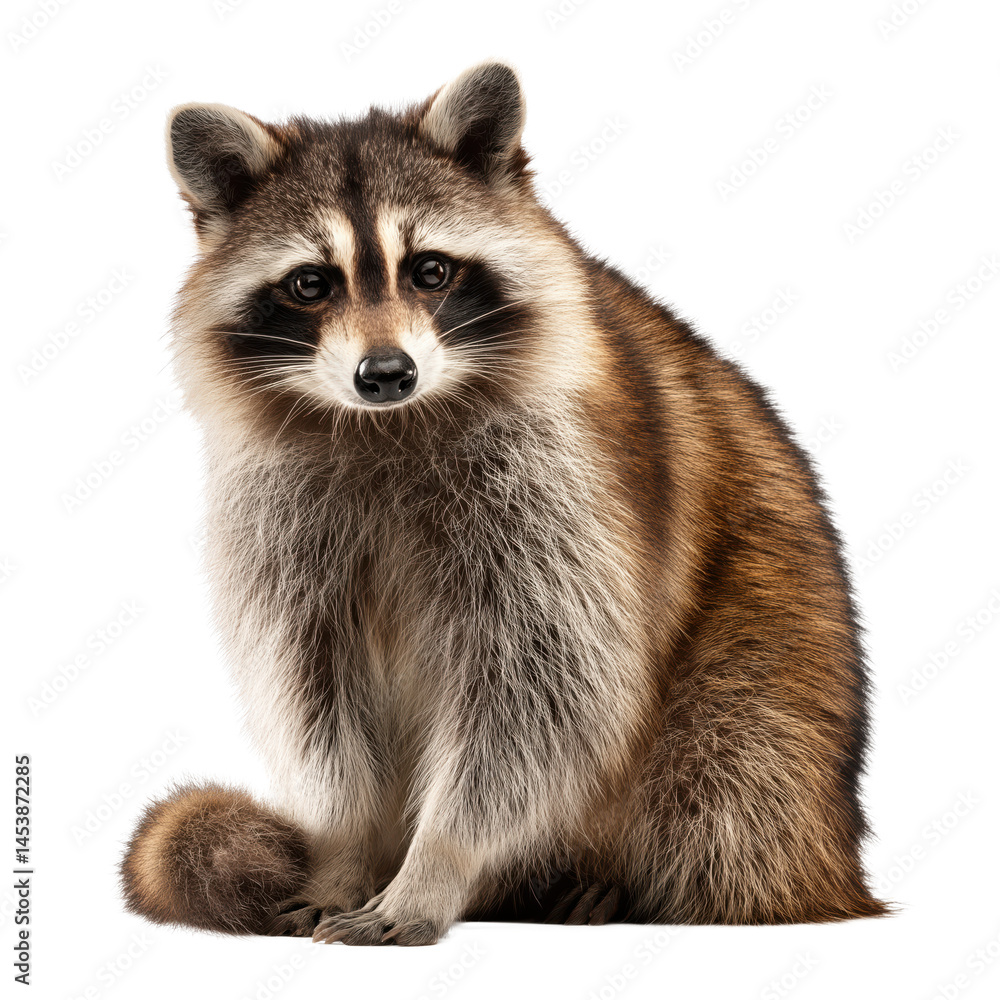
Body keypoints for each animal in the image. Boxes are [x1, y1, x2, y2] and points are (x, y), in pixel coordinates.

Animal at [120, 61, 888, 945]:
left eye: (430, 270)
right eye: (311, 283)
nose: (386, 373)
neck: (391, 424)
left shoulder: (562, 488)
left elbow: (540, 693)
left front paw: (435, 868)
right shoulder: (282, 518)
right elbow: (318, 691)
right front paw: (346, 850)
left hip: (772, 672)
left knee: (732, 775)